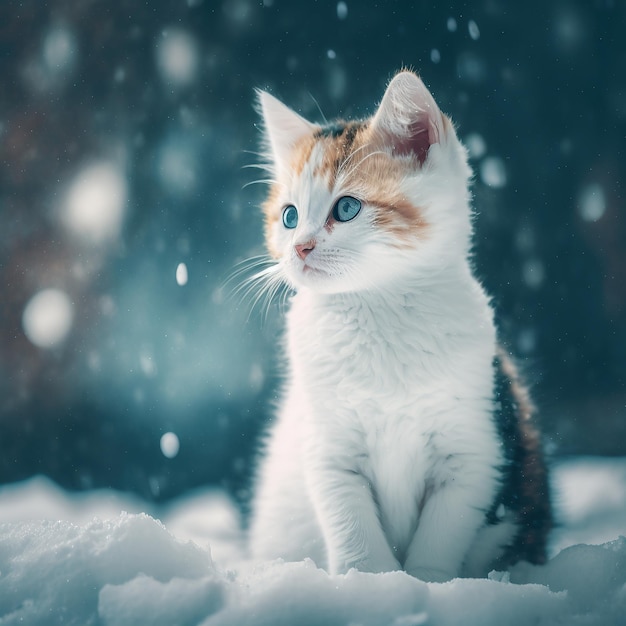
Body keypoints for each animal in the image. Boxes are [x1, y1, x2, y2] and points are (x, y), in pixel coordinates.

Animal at [246, 69, 548, 580]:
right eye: (288, 217)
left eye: (346, 209)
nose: (300, 247)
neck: (377, 311)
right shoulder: (328, 449)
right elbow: (352, 527)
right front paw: (369, 581)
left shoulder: (472, 450)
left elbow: (442, 532)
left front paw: (427, 582)